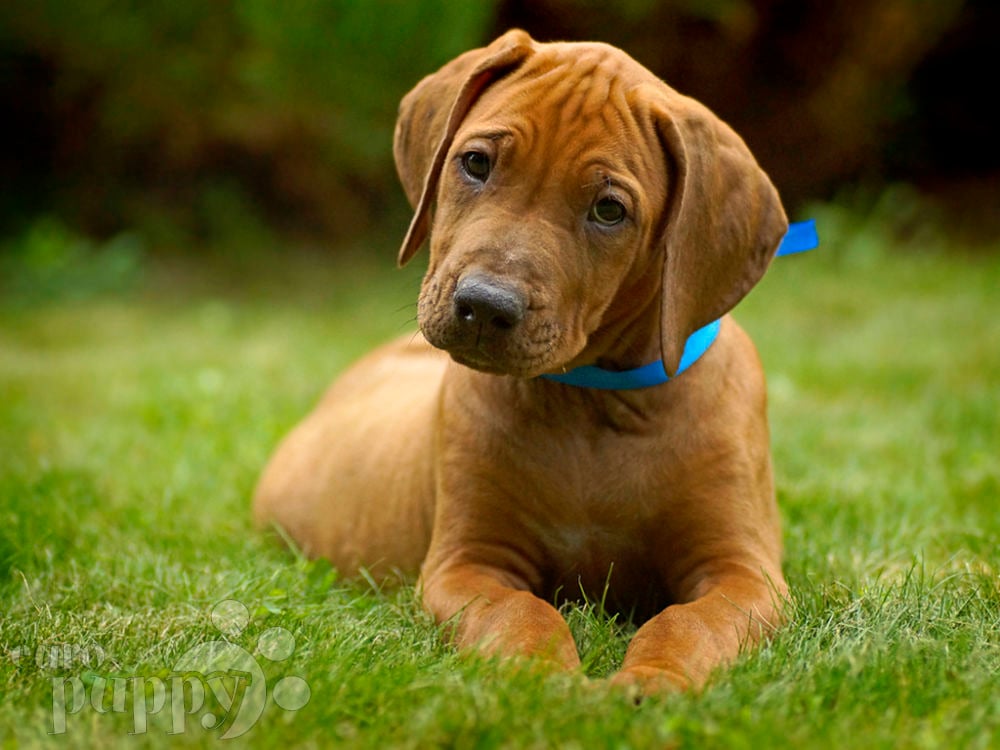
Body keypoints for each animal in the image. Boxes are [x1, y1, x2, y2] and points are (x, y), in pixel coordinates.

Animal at [254, 32, 792, 696]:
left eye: (609, 210)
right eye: (476, 163)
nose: (485, 306)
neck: (590, 402)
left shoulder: (742, 570)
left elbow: (690, 622)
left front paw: (652, 681)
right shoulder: (468, 562)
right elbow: (518, 611)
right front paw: (542, 679)